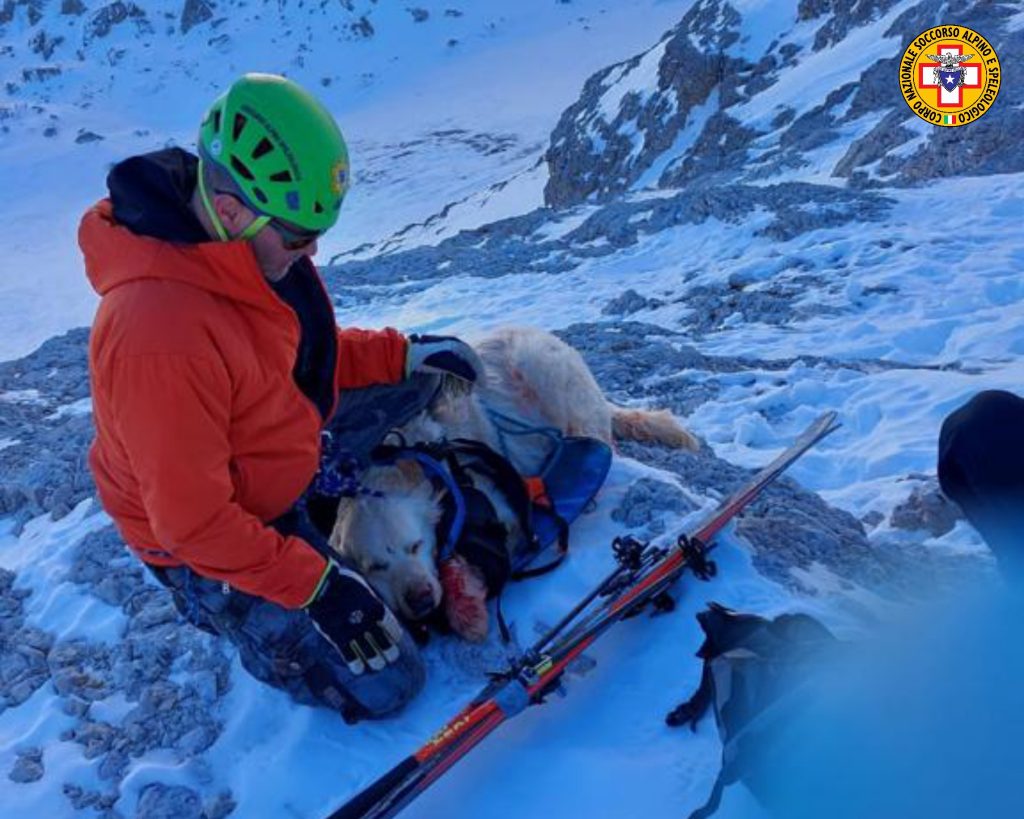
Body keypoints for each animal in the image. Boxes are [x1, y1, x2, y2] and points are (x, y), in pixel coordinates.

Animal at [331, 325, 700, 638]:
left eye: (415, 545)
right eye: (376, 566)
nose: (420, 599)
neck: (416, 455)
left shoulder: (495, 499)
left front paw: (466, 606)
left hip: (543, 371)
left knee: (594, 434)